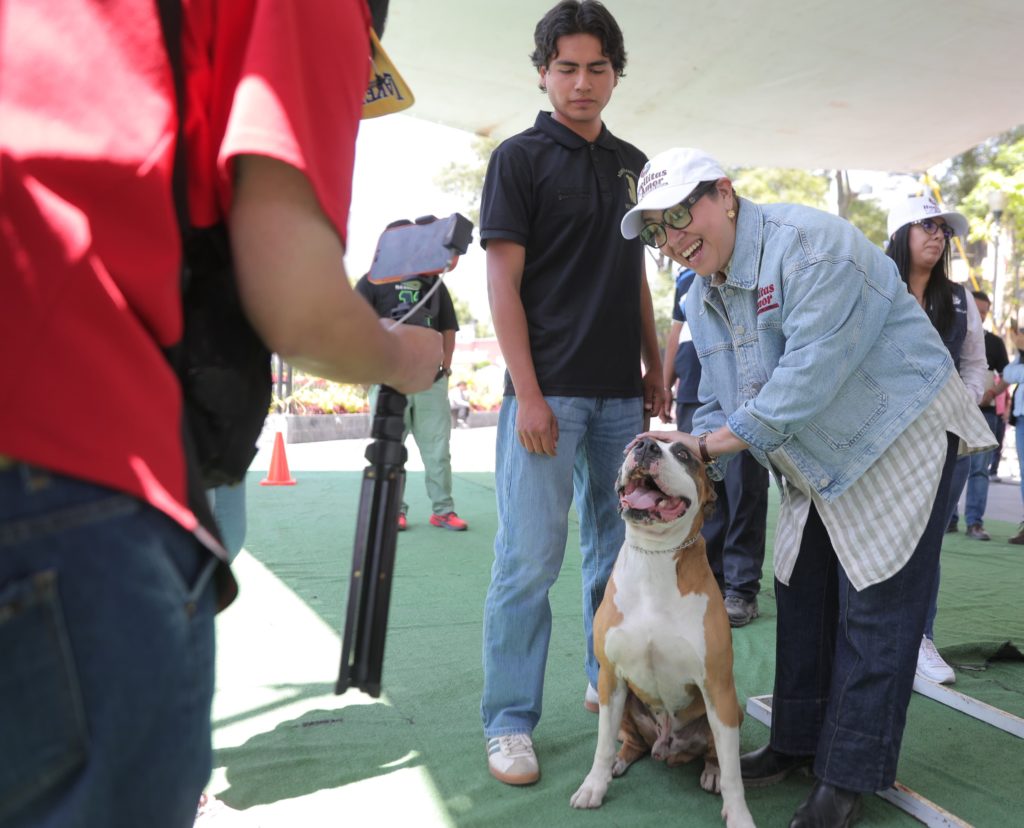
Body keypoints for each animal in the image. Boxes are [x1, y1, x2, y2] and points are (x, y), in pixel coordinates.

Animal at [570, 436, 755, 828]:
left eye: (684, 453)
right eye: (632, 446)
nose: (645, 445)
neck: (654, 557)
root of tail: (665, 746)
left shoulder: (717, 685)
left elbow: (733, 771)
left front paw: (739, 814)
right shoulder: (610, 676)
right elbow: (601, 744)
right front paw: (594, 785)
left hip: (733, 709)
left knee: (716, 753)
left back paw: (711, 772)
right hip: (623, 703)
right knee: (630, 742)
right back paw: (620, 761)